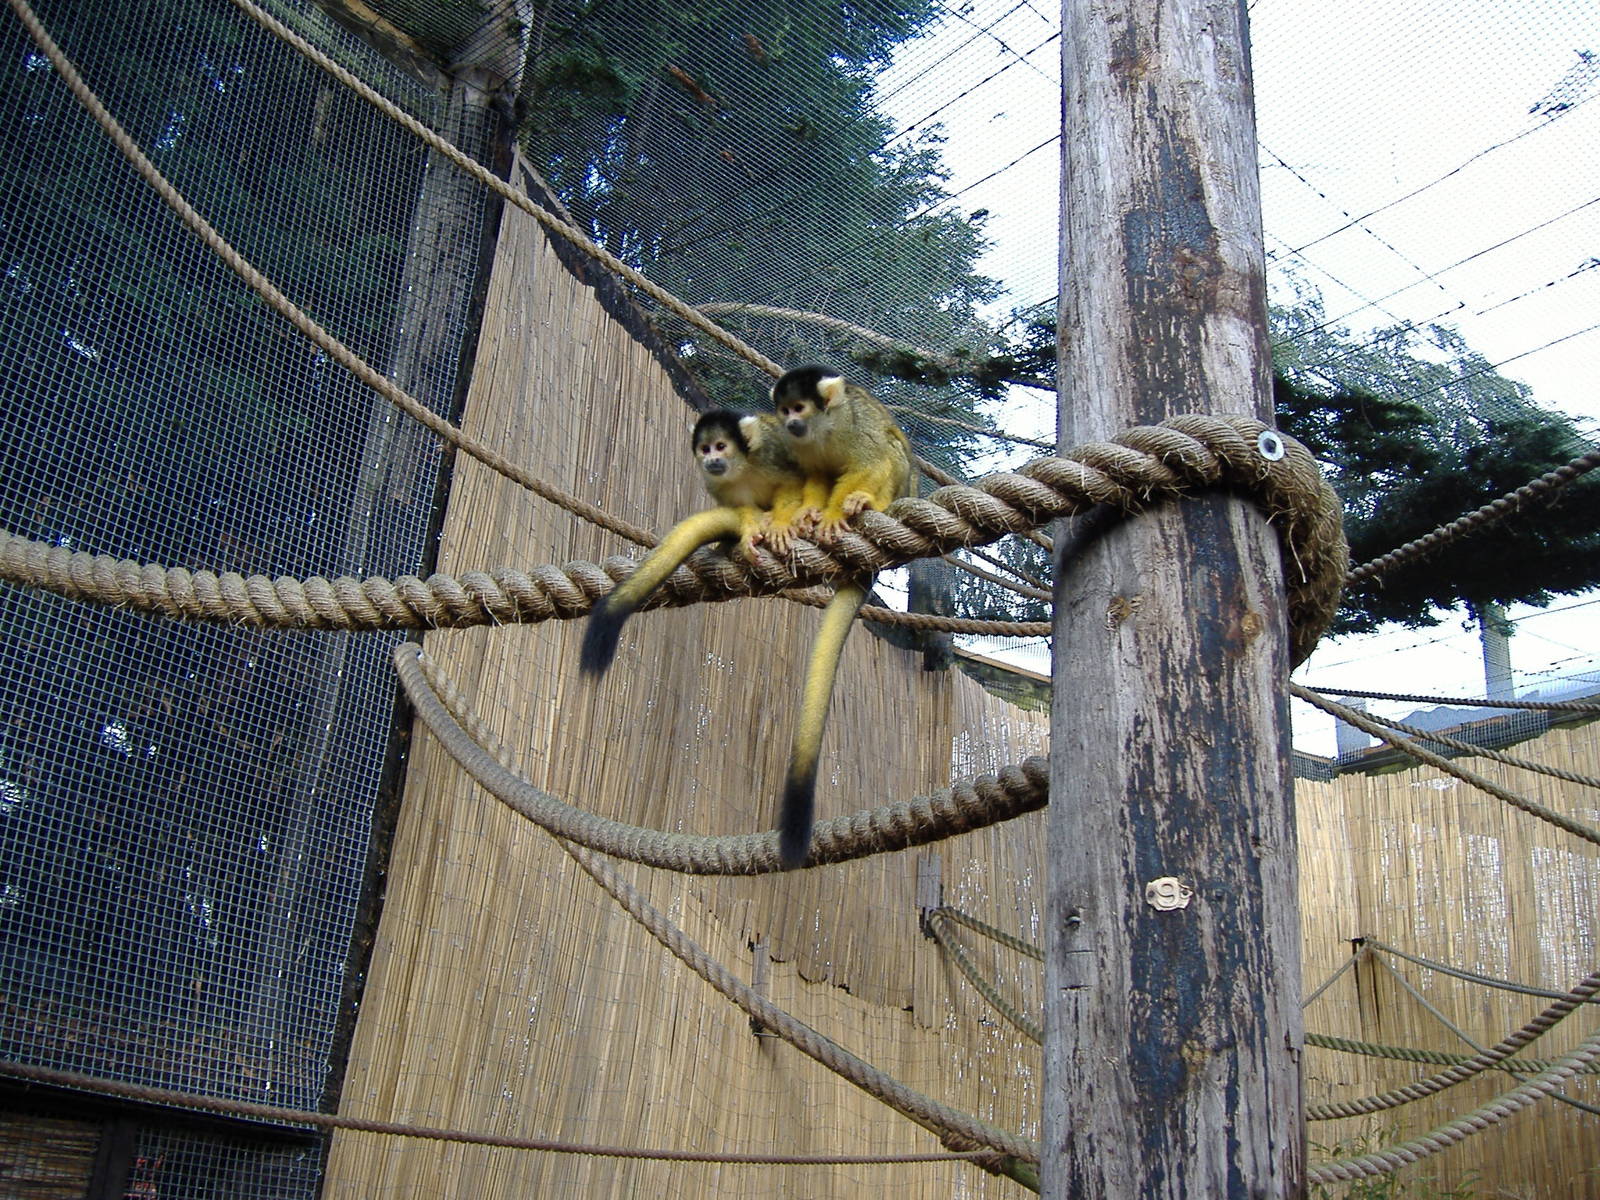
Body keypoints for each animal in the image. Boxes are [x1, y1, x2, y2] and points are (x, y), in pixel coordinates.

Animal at [580, 409, 806, 678]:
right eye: (705, 449)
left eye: (721, 446)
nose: (712, 460)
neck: (742, 468)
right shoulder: (716, 483)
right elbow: (742, 508)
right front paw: (749, 531)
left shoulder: (772, 451)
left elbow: (795, 482)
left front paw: (781, 525)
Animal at [767, 366, 915, 867]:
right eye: (784, 410)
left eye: (800, 407)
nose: (791, 422)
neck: (822, 430)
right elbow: (814, 475)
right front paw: (807, 515)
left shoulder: (853, 428)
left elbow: (868, 462)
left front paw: (836, 513)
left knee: (890, 452)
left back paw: (866, 506)